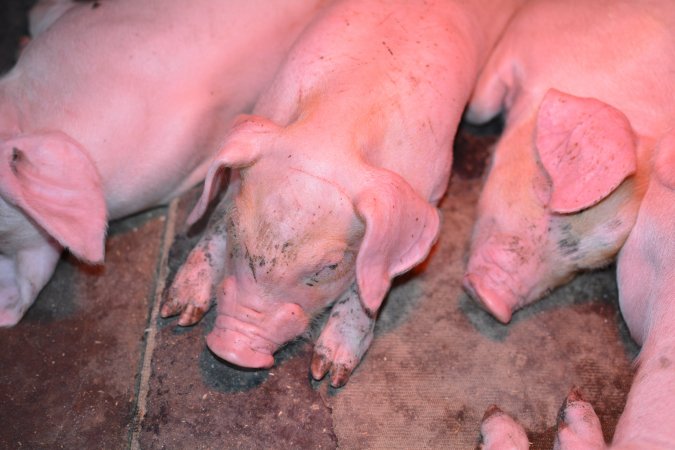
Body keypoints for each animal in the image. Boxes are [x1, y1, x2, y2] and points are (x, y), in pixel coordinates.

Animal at [161, 0, 526, 387]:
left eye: (331, 265)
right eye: (236, 228)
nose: (232, 349)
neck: (341, 117)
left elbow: (368, 284)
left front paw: (329, 373)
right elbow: (214, 217)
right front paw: (178, 310)